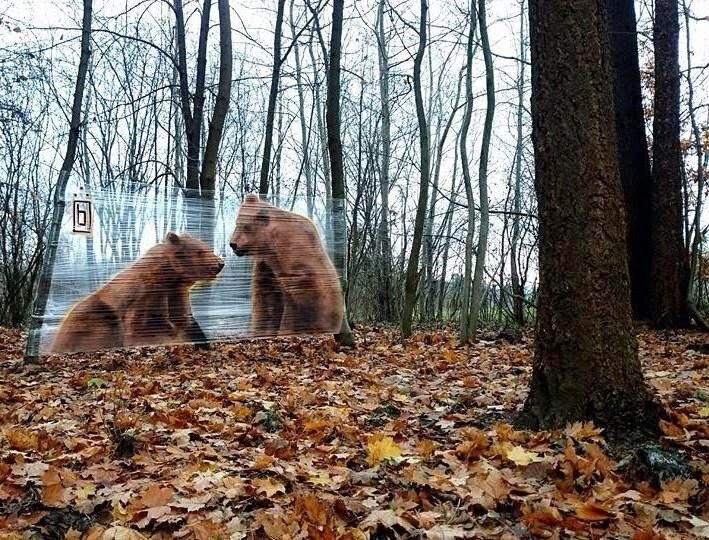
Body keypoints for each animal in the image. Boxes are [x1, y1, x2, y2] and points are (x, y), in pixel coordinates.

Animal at [50, 232, 221, 354]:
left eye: (207, 247)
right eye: (200, 251)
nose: (220, 263)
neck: (167, 277)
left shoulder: (175, 293)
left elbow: (184, 320)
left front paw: (203, 344)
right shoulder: (143, 298)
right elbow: (143, 330)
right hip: (95, 319)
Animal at [230, 194, 342, 338]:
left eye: (245, 226)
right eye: (237, 224)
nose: (233, 244)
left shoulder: (292, 250)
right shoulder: (265, 264)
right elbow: (264, 297)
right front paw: (261, 332)